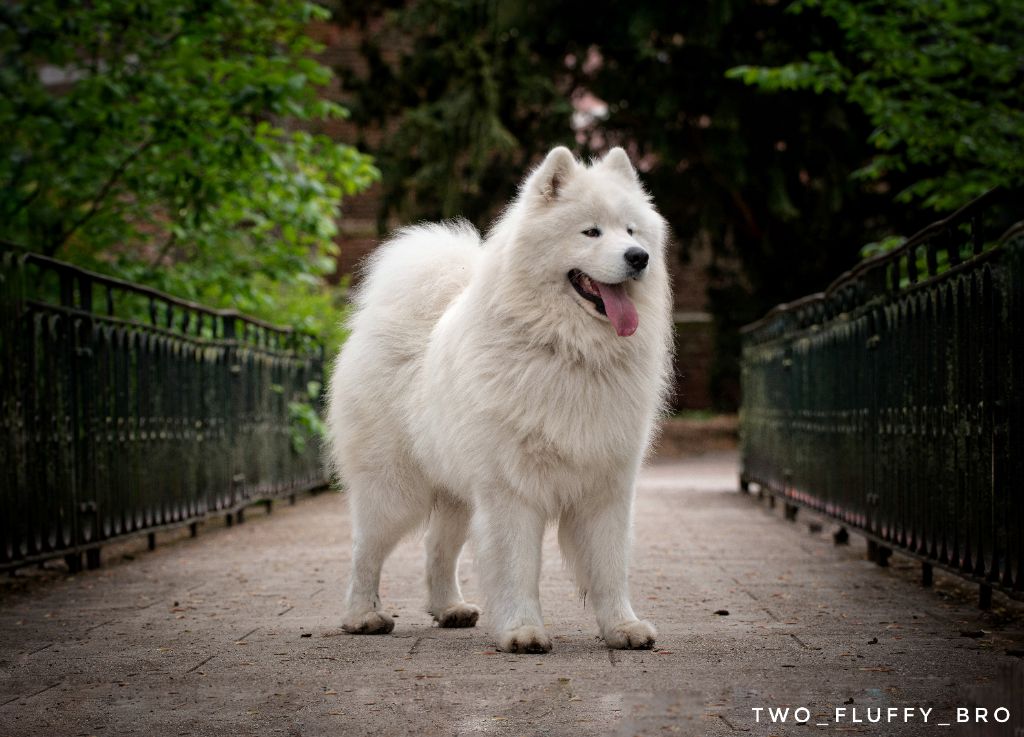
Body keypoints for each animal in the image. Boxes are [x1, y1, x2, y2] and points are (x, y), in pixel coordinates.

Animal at [325, 145, 671, 651]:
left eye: (631, 231)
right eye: (590, 231)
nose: (639, 257)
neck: (568, 350)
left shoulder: (606, 486)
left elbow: (610, 567)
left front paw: (623, 628)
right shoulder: (512, 488)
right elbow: (518, 568)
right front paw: (523, 631)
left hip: (457, 491)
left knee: (437, 549)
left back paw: (449, 608)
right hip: (394, 490)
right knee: (364, 551)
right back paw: (362, 616)